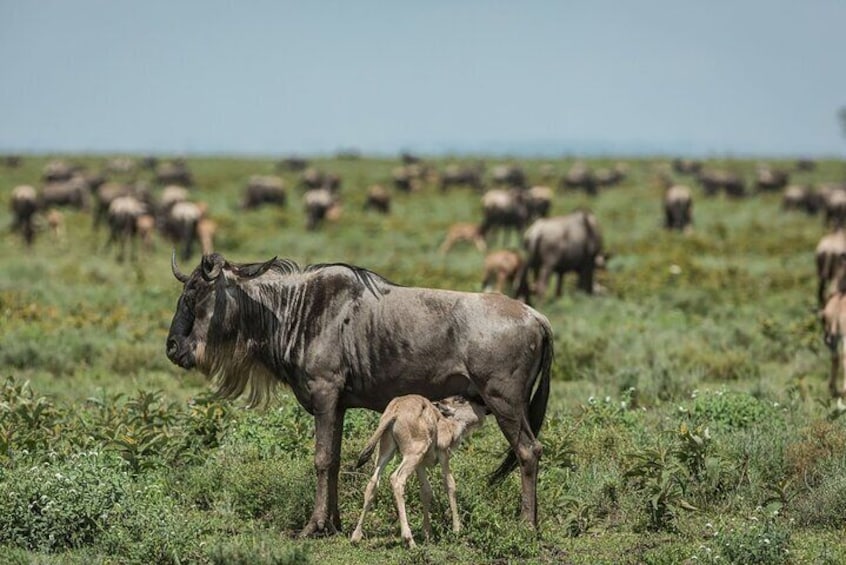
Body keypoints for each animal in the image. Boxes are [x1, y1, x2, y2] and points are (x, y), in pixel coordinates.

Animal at [352, 392, 486, 548]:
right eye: (461, 399)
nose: (484, 410)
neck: (447, 424)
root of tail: (395, 411)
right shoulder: (443, 454)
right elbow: (450, 485)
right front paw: (456, 530)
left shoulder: (420, 464)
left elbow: (426, 491)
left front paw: (427, 533)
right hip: (414, 452)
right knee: (396, 478)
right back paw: (409, 540)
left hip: (387, 450)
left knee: (373, 482)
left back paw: (356, 536)